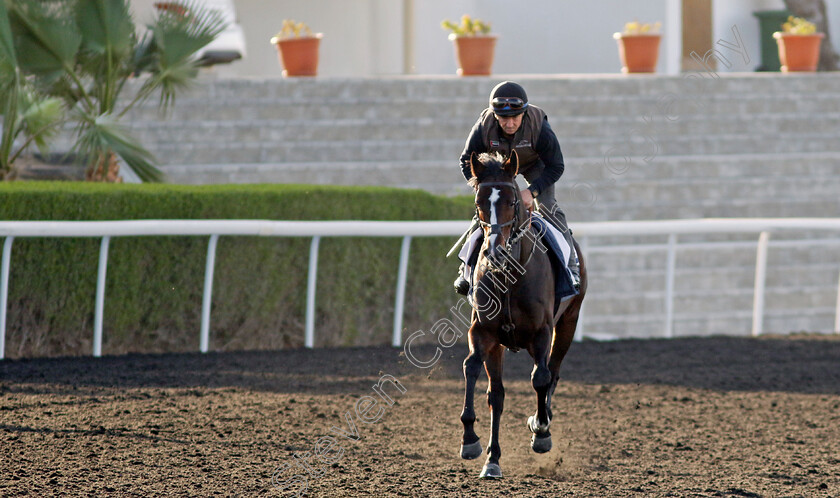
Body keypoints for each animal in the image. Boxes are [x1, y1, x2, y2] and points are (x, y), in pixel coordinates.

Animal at [456, 151, 588, 478]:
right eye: (479, 202)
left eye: (512, 201)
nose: (495, 252)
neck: (509, 276)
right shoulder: (483, 332)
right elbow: (472, 369)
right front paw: (471, 441)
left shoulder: (543, 332)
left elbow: (540, 377)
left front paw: (540, 430)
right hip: (499, 345)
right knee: (497, 394)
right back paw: (492, 460)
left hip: (569, 322)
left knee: (553, 372)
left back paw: (543, 422)